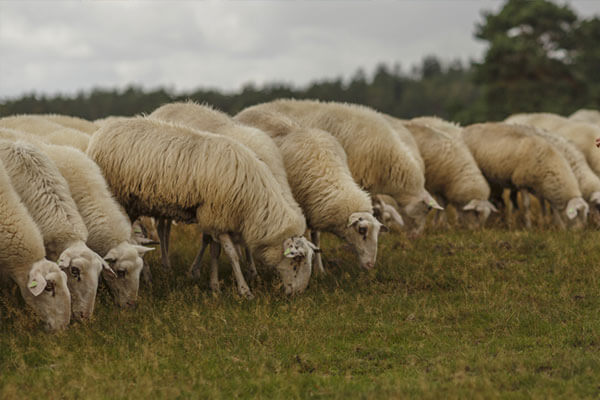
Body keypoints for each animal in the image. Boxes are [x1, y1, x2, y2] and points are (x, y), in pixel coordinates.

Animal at [88, 115, 318, 296]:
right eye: (297, 262)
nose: (298, 293)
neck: (253, 199)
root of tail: (100, 133)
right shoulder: (217, 214)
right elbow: (232, 255)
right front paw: (244, 290)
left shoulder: (215, 219)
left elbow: (215, 251)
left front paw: (214, 286)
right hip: (119, 200)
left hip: (133, 205)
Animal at [234, 105, 384, 272]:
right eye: (362, 230)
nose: (371, 265)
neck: (326, 169)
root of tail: (245, 112)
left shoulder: (314, 207)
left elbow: (316, 239)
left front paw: (320, 269)